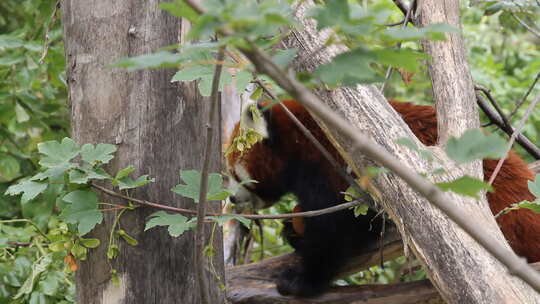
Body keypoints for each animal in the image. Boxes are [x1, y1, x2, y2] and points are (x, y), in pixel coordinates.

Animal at [227, 98, 540, 296]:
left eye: (233, 173)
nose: (229, 200)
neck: (297, 139)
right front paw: (293, 227)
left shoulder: (331, 167)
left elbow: (336, 233)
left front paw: (303, 280)